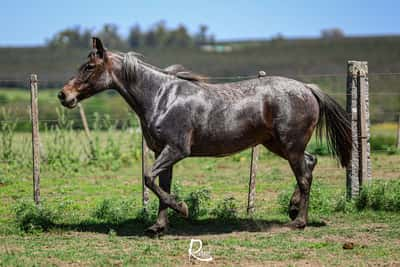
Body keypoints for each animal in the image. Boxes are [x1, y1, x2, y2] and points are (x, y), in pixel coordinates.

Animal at [57, 37, 352, 237]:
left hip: (289, 145)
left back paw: (298, 221)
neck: (161, 97)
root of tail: (308, 88)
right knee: (310, 164)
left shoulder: (176, 150)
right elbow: (161, 185)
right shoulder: (162, 152)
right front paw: (158, 226)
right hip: (278, 144)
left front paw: (182, 208)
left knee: (304, 176)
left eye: (89, 66)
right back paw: (292, 208)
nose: (63, 95)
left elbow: (149, 179)